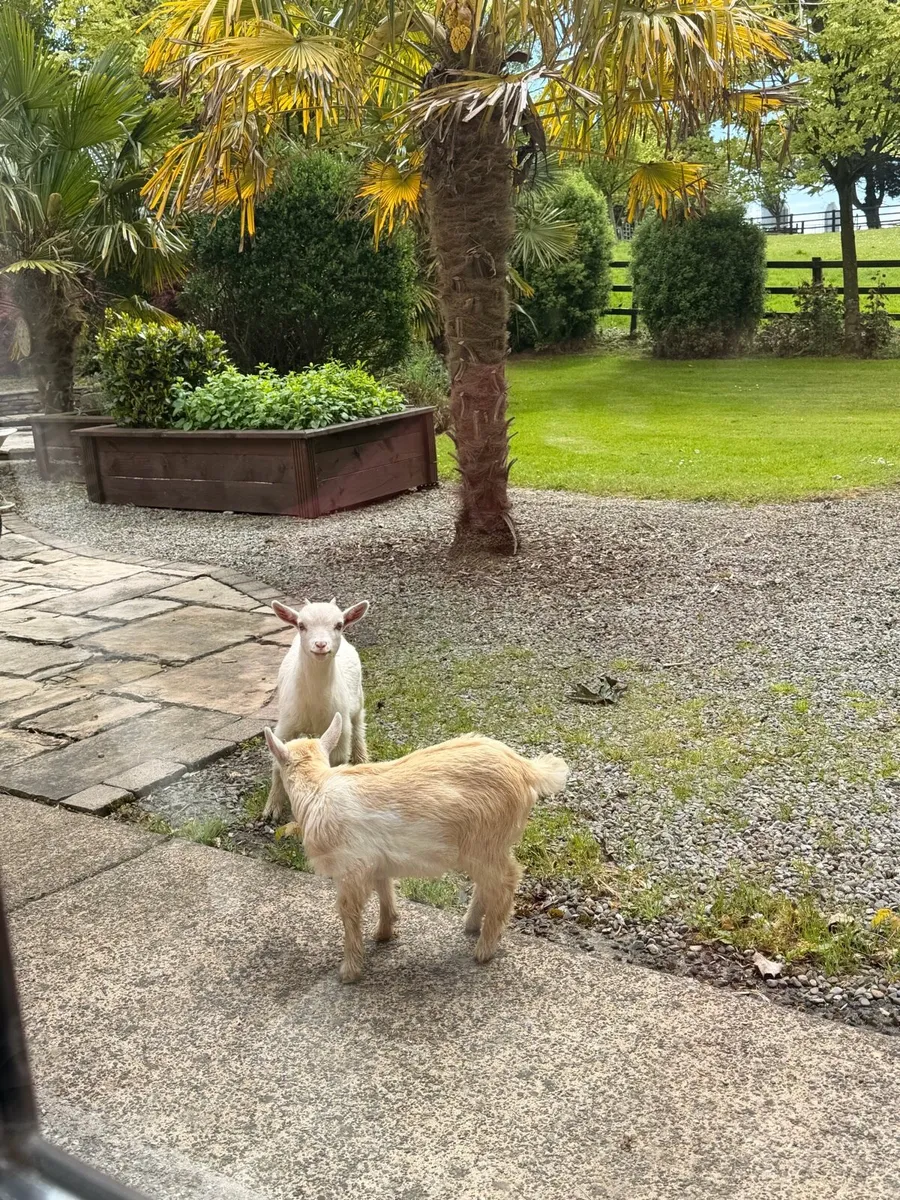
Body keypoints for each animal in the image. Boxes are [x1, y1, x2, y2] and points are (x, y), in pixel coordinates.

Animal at [263, 599, 369, 823]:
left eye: (338, 624)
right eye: (302, 625)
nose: (320, 645)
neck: (314, 703)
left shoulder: (341, 727)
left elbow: (337, 761)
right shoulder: (285, 725)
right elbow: (277, 763)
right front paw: (272, 808)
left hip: (357, 702)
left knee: (358, 728)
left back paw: (362, 758)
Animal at [265, 713, 570, 982]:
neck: (317, 789)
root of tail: (528, 771)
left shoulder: (351, 869)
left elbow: (348, 914)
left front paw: (349, 972)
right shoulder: (376, 863)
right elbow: (385, 892)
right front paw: (384, 933)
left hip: (485, 843)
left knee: (507, 881)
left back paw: (484, 949)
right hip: (486, 846)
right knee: (491, 883)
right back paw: (471, 924)